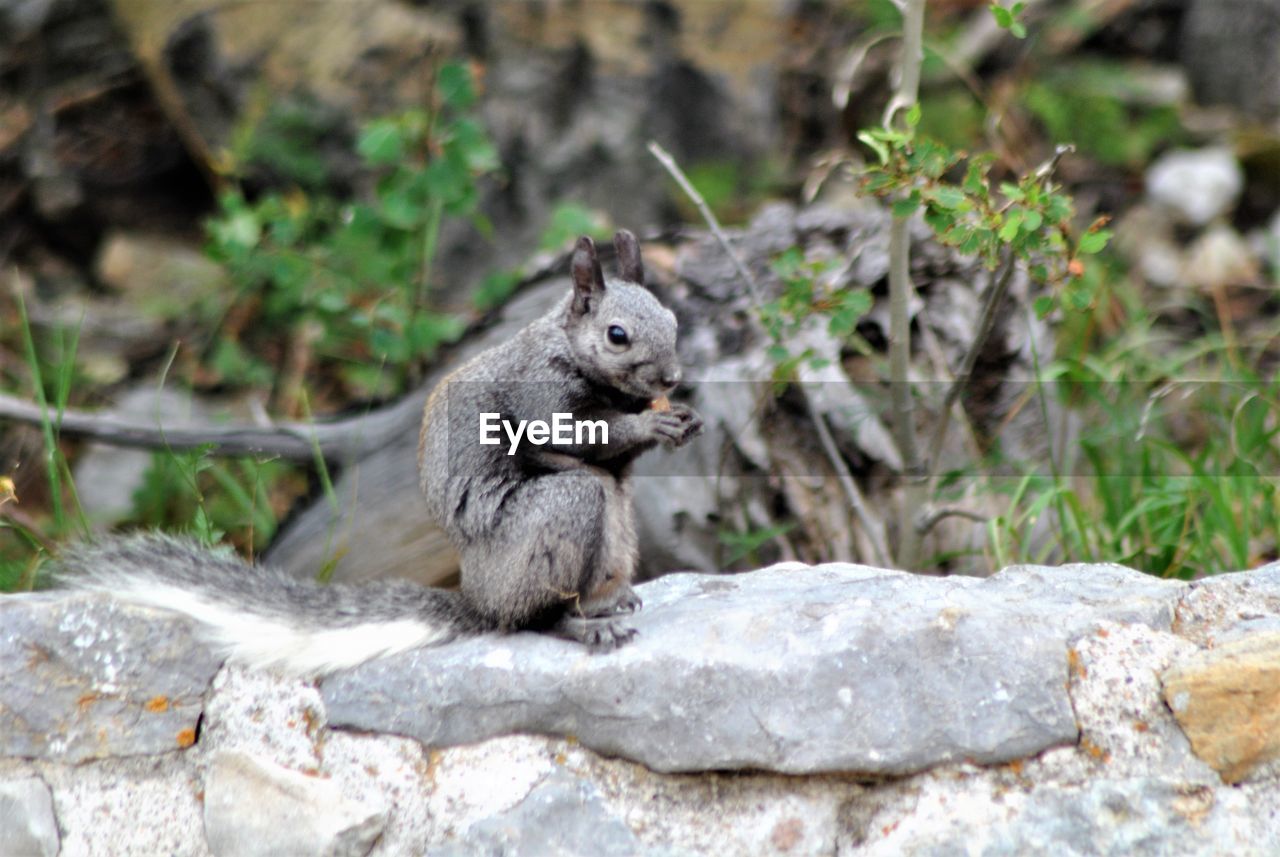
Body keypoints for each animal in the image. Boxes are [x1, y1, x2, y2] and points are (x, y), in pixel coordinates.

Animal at [55, 231, 706, 680]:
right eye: (617, 335)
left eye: (674, 319)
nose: (673, 377)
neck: (570, 352)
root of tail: (477, 598)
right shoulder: (538, 395)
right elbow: (575, 437)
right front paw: (653, 422)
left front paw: (677, 417)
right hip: (560, 518)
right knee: (530, 618)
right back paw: (576, 625)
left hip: (618, 530)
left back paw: (611, 599)